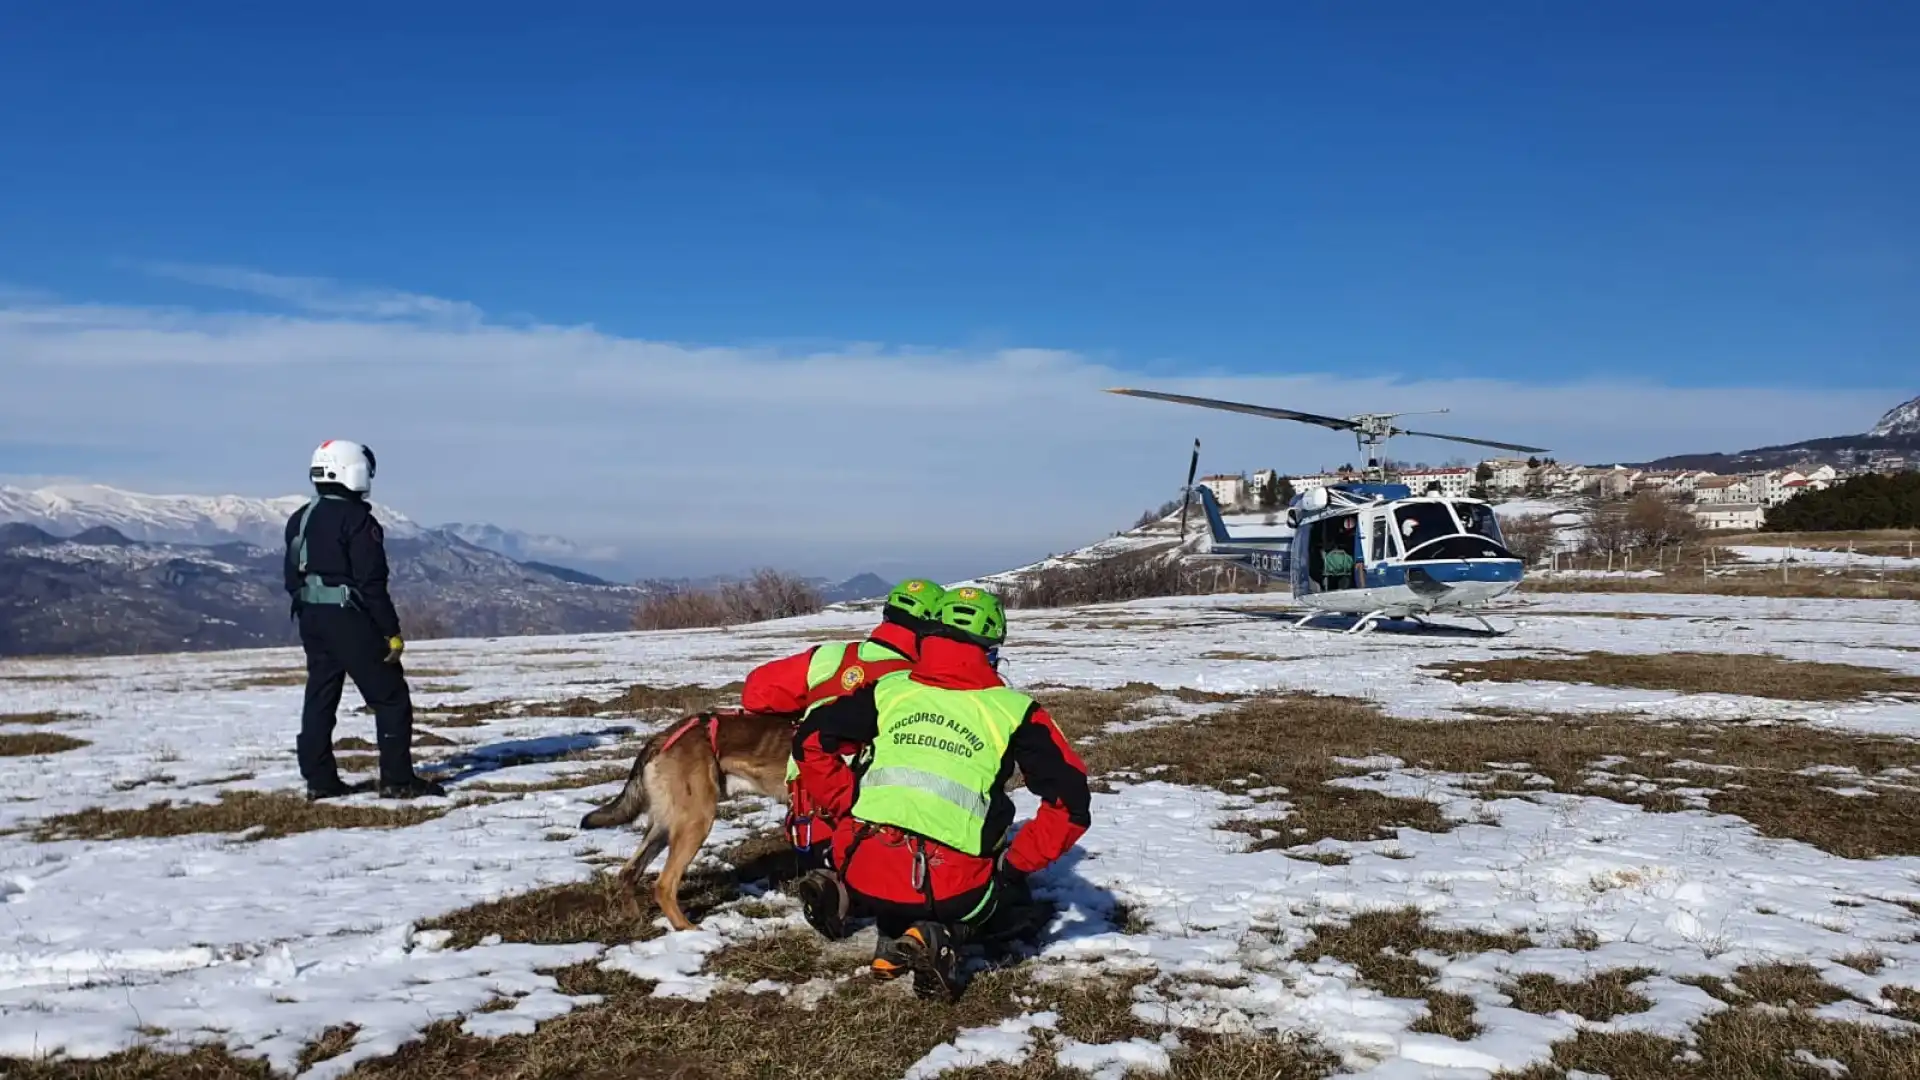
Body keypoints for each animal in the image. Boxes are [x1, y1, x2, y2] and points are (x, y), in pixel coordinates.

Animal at [583, 711, 794, 930]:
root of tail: (663, 737)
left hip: (666, 824)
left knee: (628, 872)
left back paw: (635, 919)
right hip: (697, 820)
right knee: (663, 885)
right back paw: (688, 929)